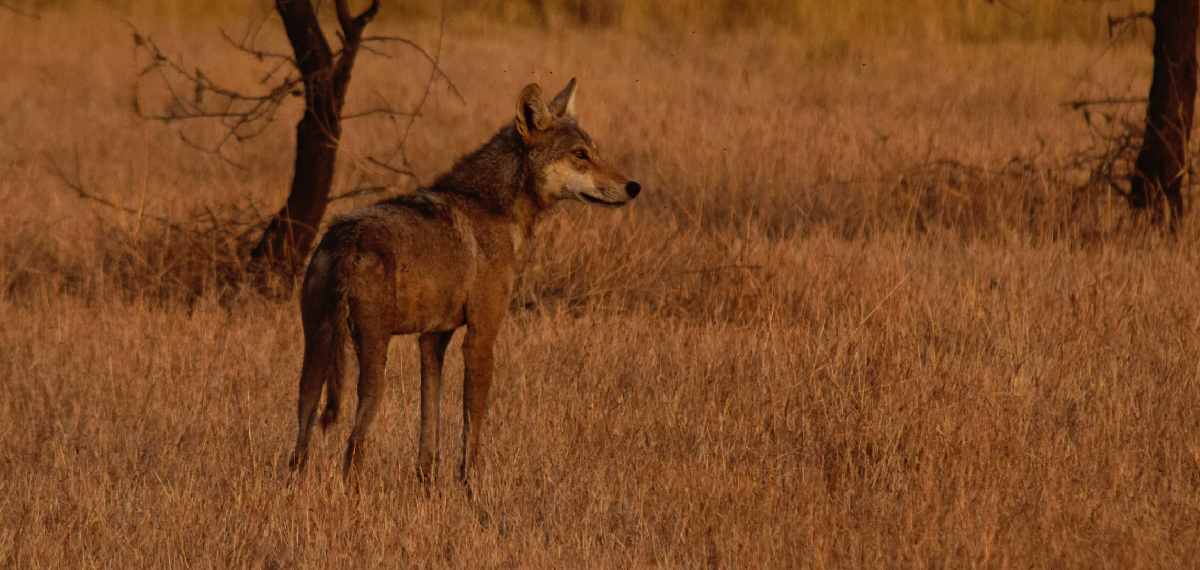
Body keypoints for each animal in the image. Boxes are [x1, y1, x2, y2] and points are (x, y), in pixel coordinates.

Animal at [288, 78, 640, 485]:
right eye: (580, 155)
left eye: (595, 152)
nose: (633, 187)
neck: (493, 207)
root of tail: (346, 238)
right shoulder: (481, 337)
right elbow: (472, 426)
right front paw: (470, 487)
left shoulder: (432, 339)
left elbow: (430, 424)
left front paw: (427, 485)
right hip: (372, 358)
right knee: (353, 442)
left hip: (314, 358)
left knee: (300, 442)